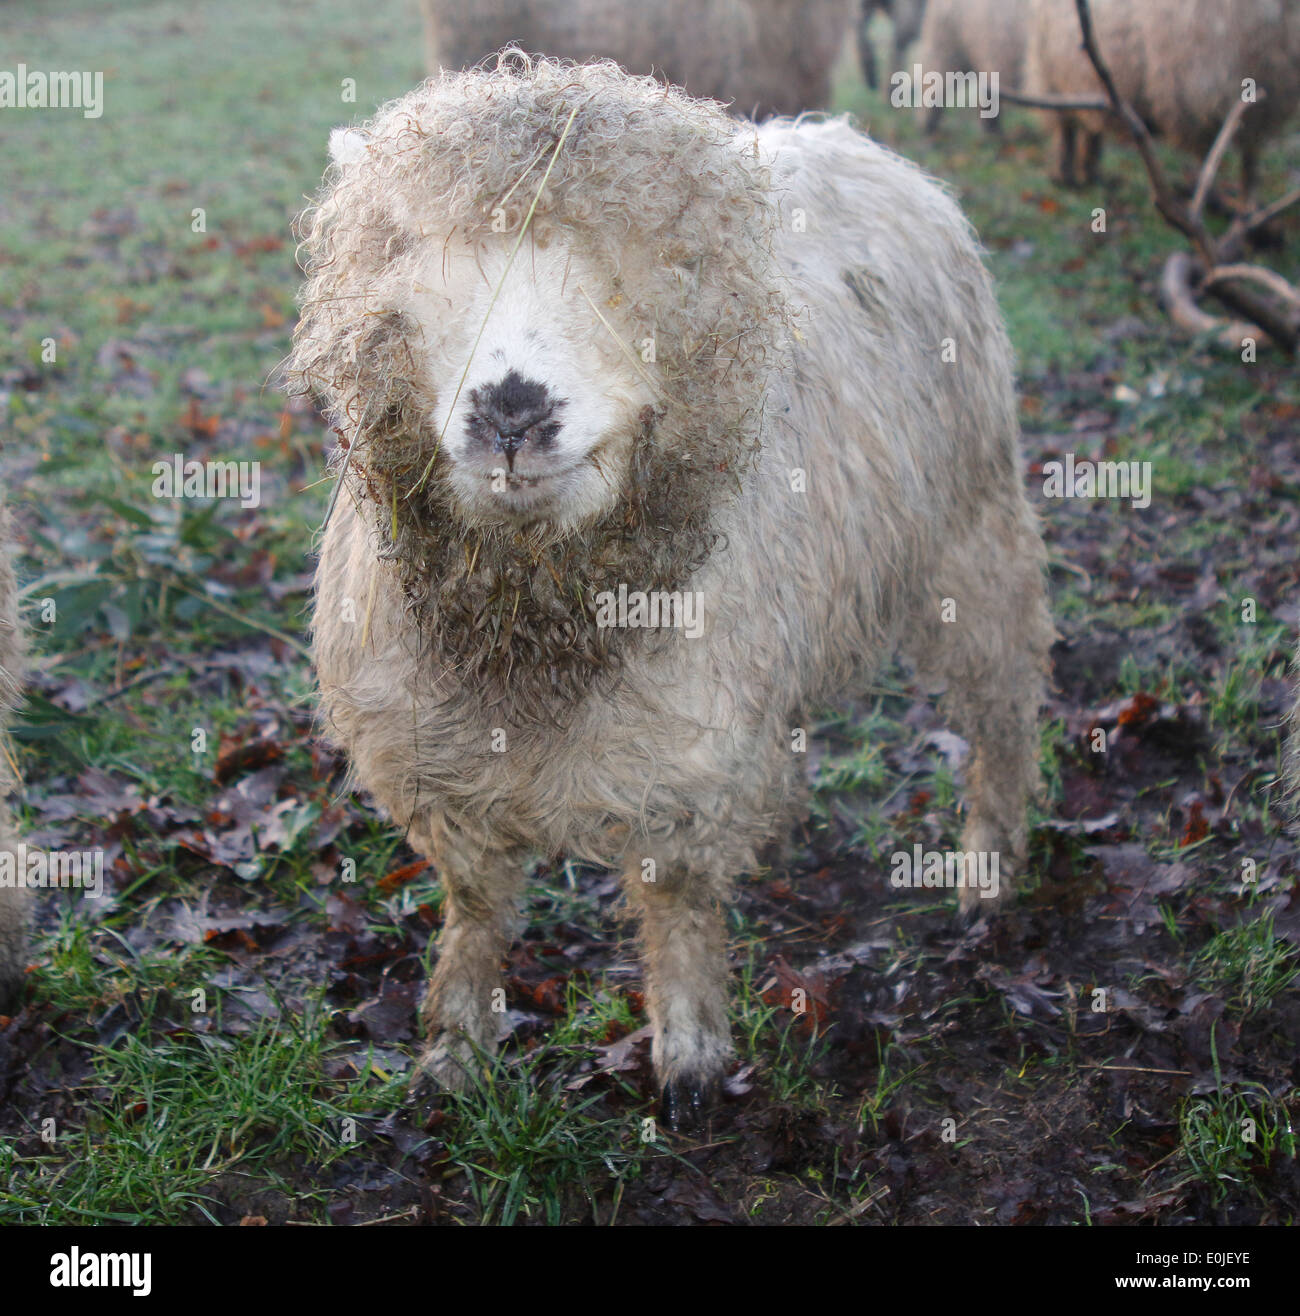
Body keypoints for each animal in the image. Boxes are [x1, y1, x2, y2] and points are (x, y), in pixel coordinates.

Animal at [286, 51, 1057, 1126]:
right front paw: (454, 1050)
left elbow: (679, 903)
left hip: (973, 529)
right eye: (425, 254)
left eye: (642, 269)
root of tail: (844, 138)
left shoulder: (687, 766)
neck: (540, 622)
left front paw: (689, 1050)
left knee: (1002, 703)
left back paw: (987, 865)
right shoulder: (435, 757)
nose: (512, 410)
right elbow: (476, 908)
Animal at [1026, 0, 1300, 192]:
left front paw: (1247, 211)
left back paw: (1090, 174)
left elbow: (1250, 164)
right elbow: (1206, 159)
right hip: (1050, 76)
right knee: (1066, 129)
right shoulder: (1196, 97)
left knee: (1092, 129)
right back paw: (1064, 175)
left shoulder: (1262, 108)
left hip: (1090, 84)